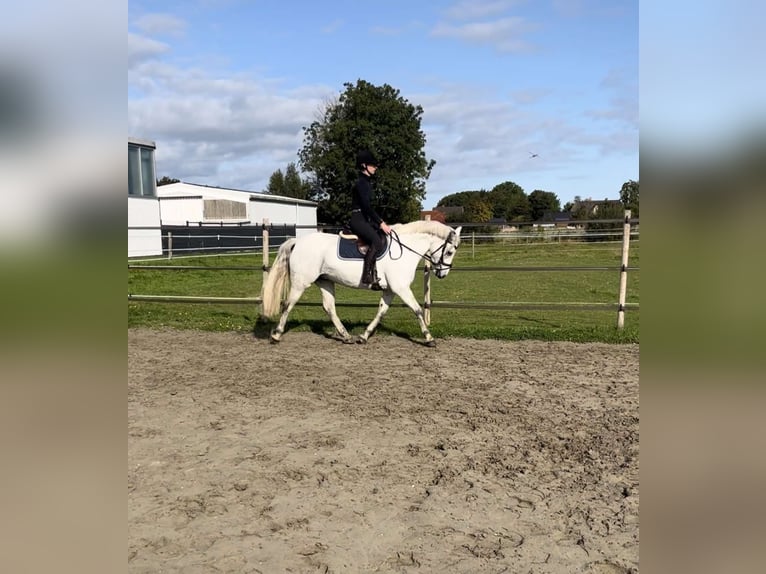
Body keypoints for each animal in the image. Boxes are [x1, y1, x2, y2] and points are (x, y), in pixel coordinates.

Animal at [264, 220, 462, 346]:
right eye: (450, 251)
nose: (443, 274)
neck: (404, 250)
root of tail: (297, 242)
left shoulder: (390, 290)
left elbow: (381, 312)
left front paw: (364, 336)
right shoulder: (401, 288)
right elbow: (418, 310)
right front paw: (429, 338)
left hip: (325, 281)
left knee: (329, 307)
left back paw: (346, 336)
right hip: (301, 282)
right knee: (288, 304)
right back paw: (276, 335)